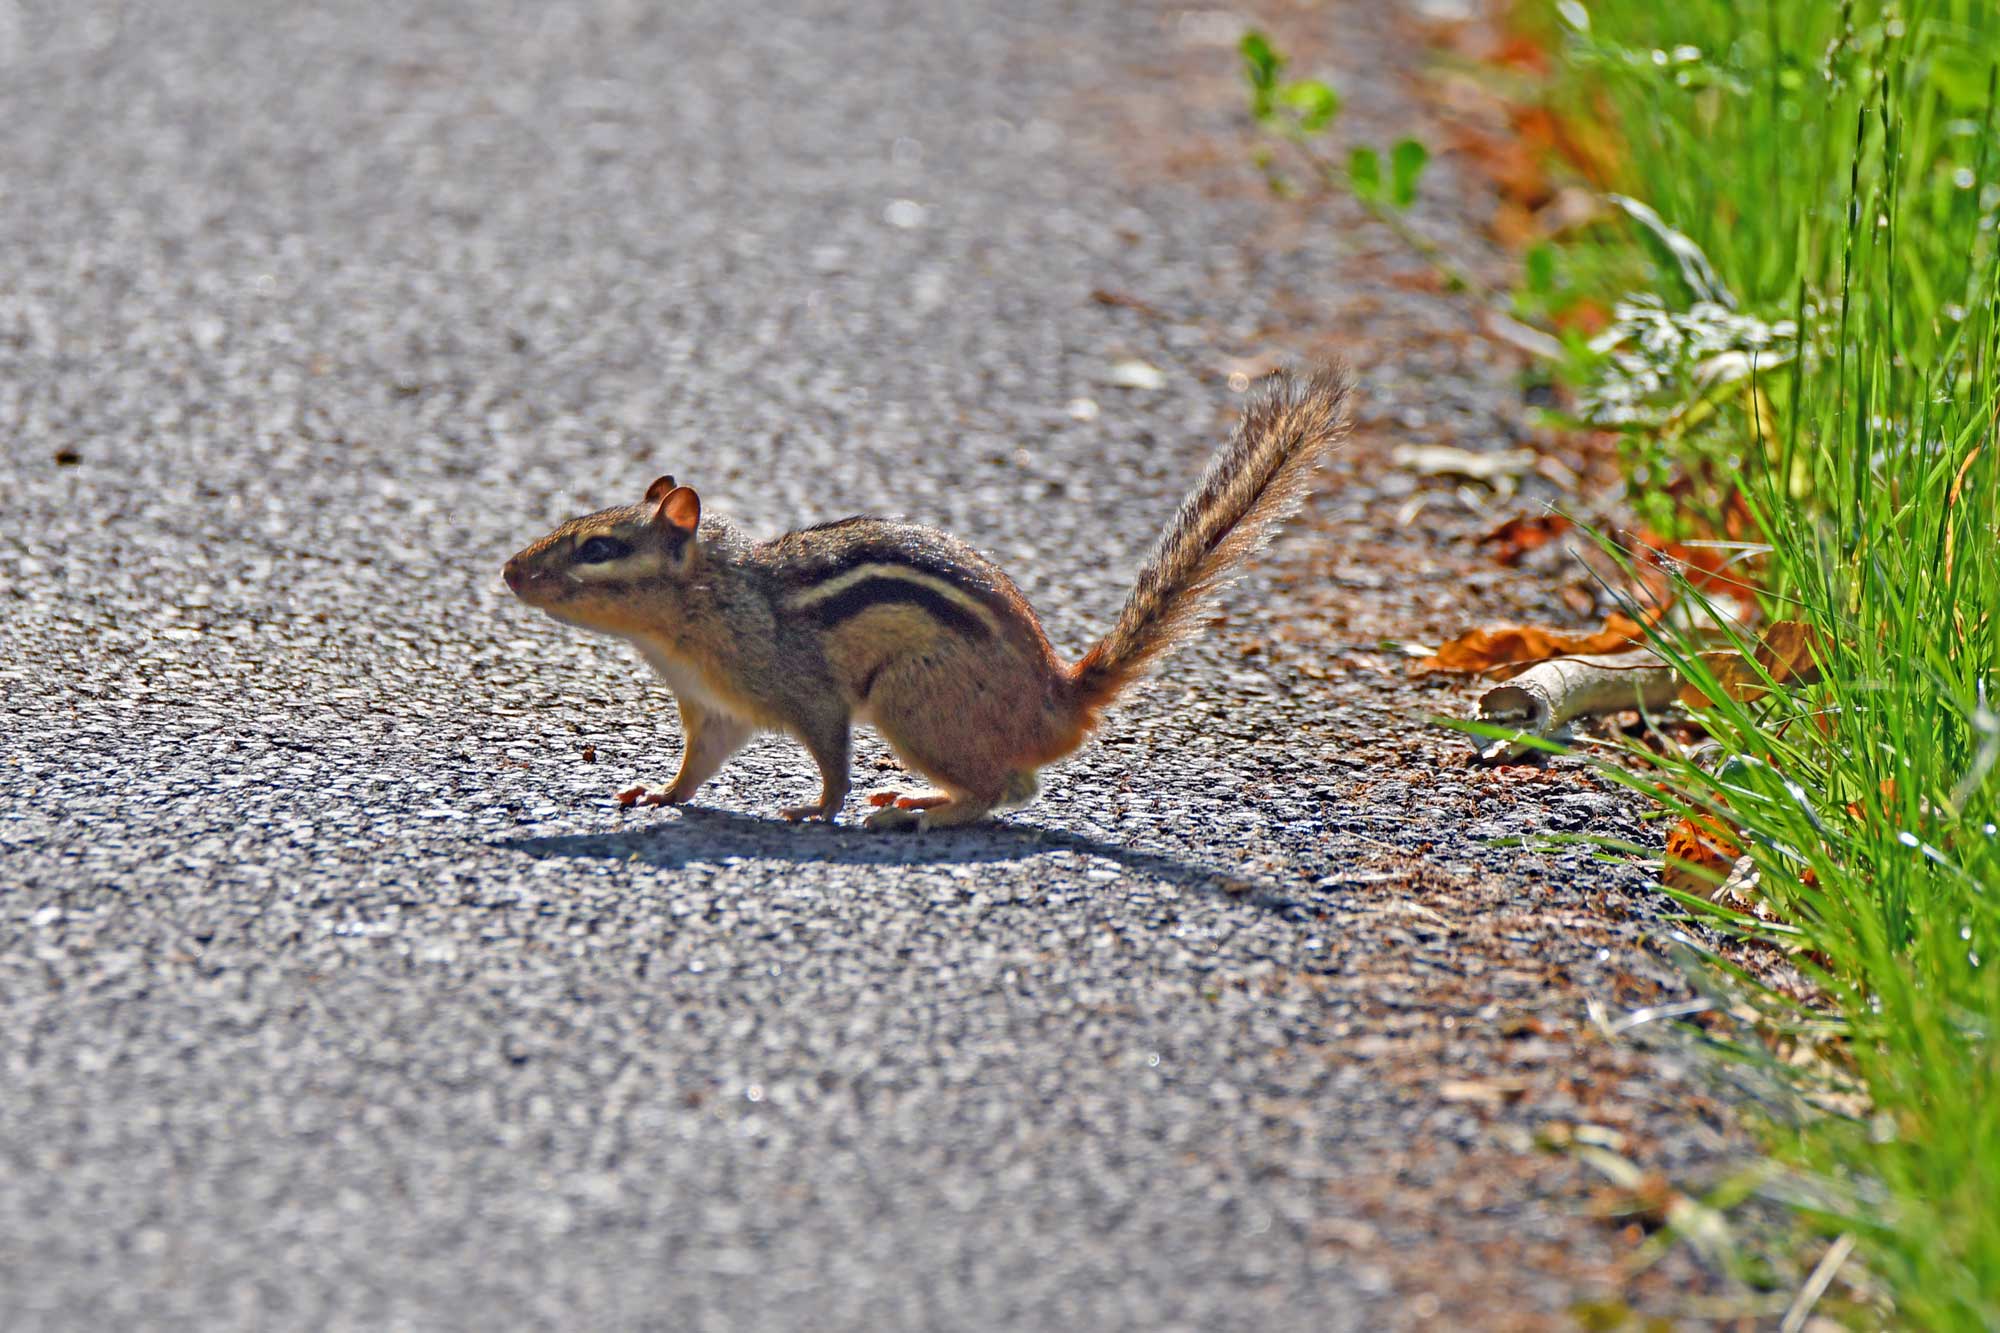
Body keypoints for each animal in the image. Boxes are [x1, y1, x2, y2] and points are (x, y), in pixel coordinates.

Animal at [502, 366, 1351, 830]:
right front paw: (659, 793)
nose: (510, 572)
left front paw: (816, 809)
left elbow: (831, 754)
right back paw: (918, 798)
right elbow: (698, 764)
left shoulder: (804, 688)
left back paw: (925, 810)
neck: (700, 613)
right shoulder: (715, 710)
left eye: (598, 548)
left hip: (911, 699)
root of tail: (1059, 698)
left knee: (1010, 786)